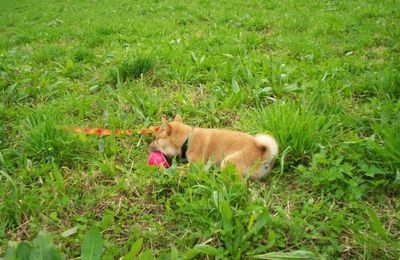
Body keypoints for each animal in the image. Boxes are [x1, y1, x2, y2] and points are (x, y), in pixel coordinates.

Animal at [150, 115, 278, 179]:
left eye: (156, 139)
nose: (149, 146)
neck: (187, 139)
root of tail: (264, 154)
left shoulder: (196, 166)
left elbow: (179, 169)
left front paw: (161, 170)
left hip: (227, 162)